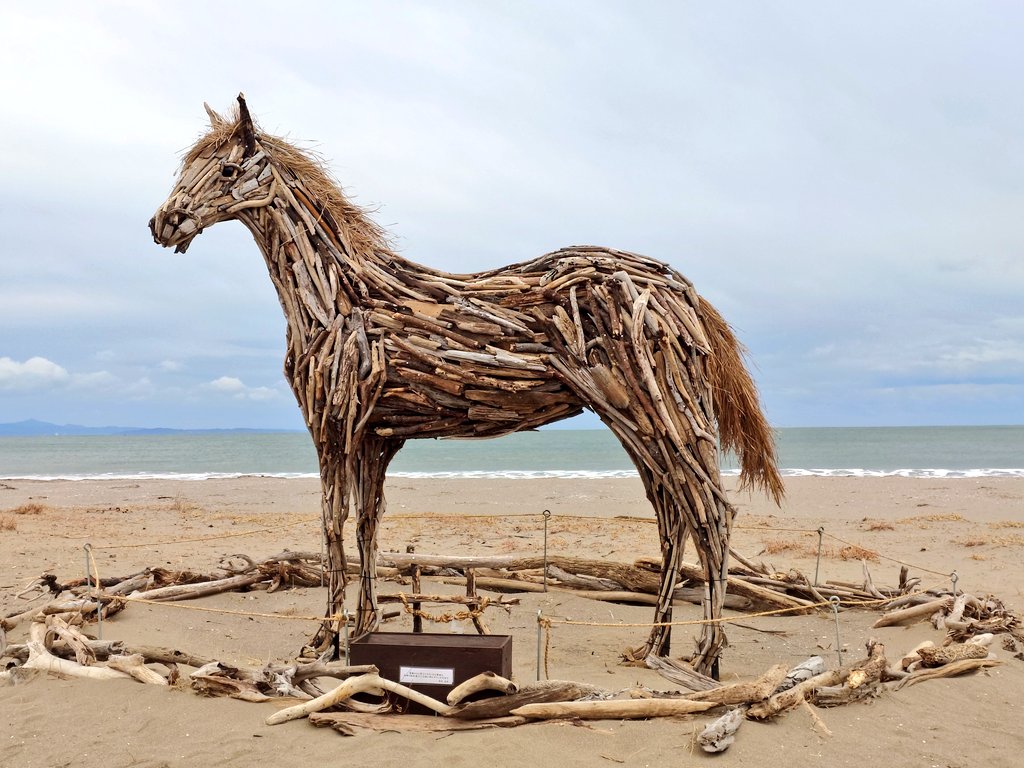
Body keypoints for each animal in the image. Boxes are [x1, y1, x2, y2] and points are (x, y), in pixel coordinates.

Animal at [150, 94, 783, 676]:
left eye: (227, 170)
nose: (162, 224)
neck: (338, 296)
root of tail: (685, 294)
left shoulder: (335, 428)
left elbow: (332, 525)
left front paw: (323, 644)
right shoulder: (377, 438)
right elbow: (368, 527)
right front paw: (363, 633)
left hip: (666, 415)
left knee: (711, 514)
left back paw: (704, 659)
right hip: (637, 422)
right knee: (674, 518)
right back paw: (654, 649)